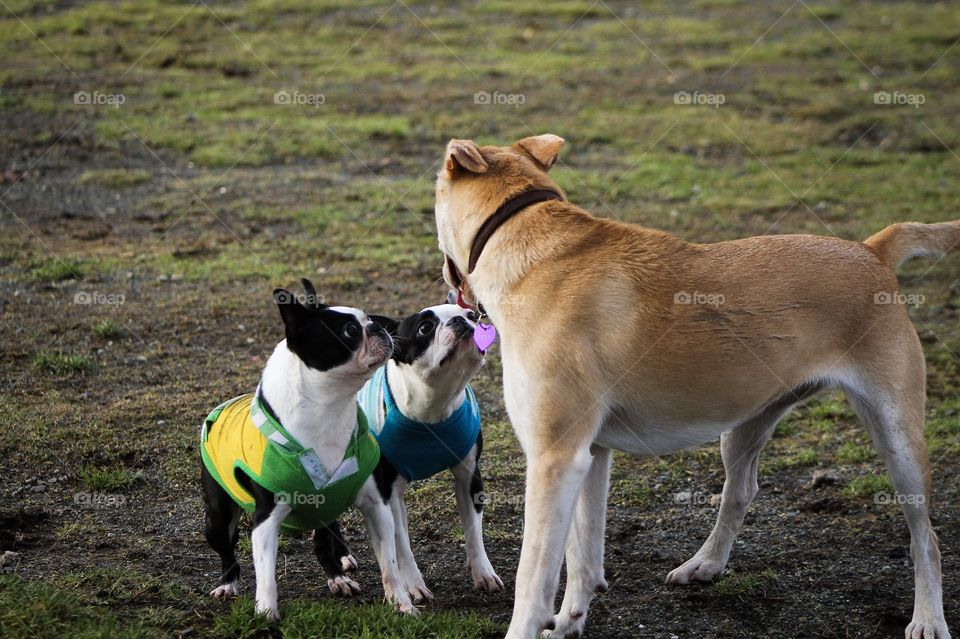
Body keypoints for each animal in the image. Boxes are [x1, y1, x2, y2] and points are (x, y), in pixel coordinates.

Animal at [199, 280, 416, 620]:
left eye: (368, 319)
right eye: (350, 330)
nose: (378, 326)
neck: (330, 408)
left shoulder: (376, 505)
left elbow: (390, 565)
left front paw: (401, 604)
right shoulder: (266, 519)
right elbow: (266, 573)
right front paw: (266, 612)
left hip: (326, 509)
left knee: (324, 543)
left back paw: (338, 577)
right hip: (218, 518)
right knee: (227, 549)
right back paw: (227, 584)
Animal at [318, 304, 506, 604]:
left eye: (471, 316)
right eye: (425, 328)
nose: (461, 320)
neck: (434, 404)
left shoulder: (469, 476)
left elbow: (474, 532)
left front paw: (483, 573)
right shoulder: (390, 491)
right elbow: (402, 545)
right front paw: (414, 585)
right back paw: (337, 576)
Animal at [438, 135, 956, 639]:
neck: (526, 236)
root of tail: (871, 250)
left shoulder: (554, 459)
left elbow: (535, 577)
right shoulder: (590, 455)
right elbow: (583, 558)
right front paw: (569, 621)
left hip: (898, 442)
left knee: (927, 539)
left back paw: (929, 619)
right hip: (743, 426)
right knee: (740, 491)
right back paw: (705, 563)